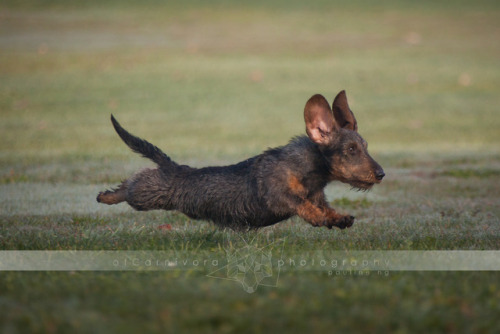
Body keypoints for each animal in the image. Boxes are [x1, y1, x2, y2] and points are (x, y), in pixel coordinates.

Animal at [98, 90, 386, 230]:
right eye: (351, 149)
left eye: (365, 147)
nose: (381, 174)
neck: (309, 172)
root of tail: (174, 167)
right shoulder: (277, 196)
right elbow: (301, 204)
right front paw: (318, 219)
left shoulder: (318, 197)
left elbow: (325, 208)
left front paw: (338, 218)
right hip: (148, 194)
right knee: (131, 184)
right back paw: (107, 195)